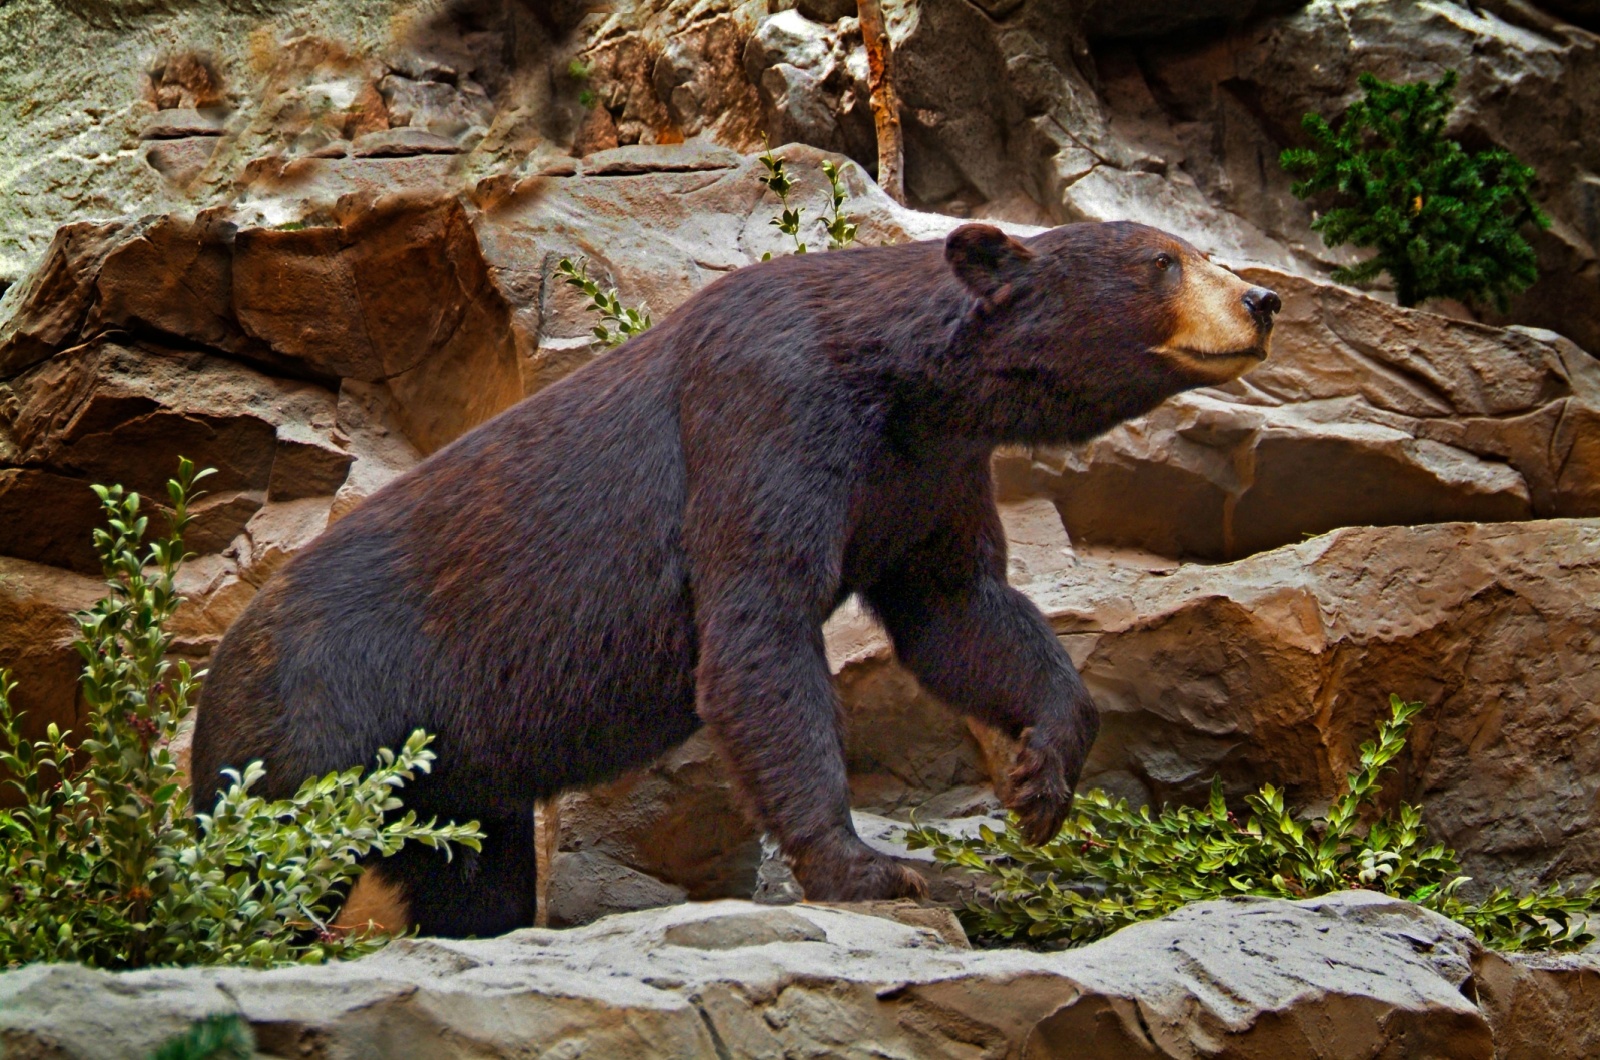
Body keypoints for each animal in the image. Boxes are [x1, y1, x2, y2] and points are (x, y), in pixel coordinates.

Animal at [190, 219, 1286, 935]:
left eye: (1189, 249)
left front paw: (1041, 774)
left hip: (452, 771)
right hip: (319, 712)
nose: (1263, 299)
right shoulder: (765, 411)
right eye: (1163, 262)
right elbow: (760, 630)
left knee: (470, 873)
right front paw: (873, 868)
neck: (903, 381)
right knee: (273, 851)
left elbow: (960, 612)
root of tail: (216, 663)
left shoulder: (921, 474)